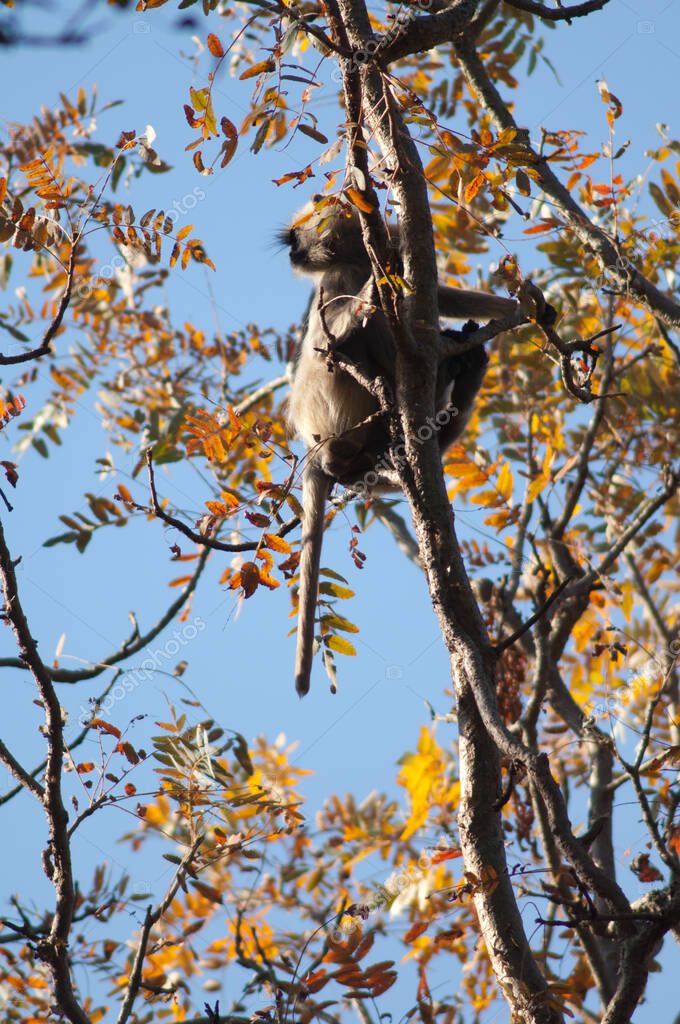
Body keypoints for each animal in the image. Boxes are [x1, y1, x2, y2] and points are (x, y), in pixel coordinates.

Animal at [278, 198, 518, 696]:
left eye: (294, 239)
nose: (291, 252)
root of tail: (314, 448)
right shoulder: (337, 279)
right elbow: (332, 333)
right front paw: (372, 293)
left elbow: (428, 295)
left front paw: (521, 306)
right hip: (331, 404)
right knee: (345, 339)